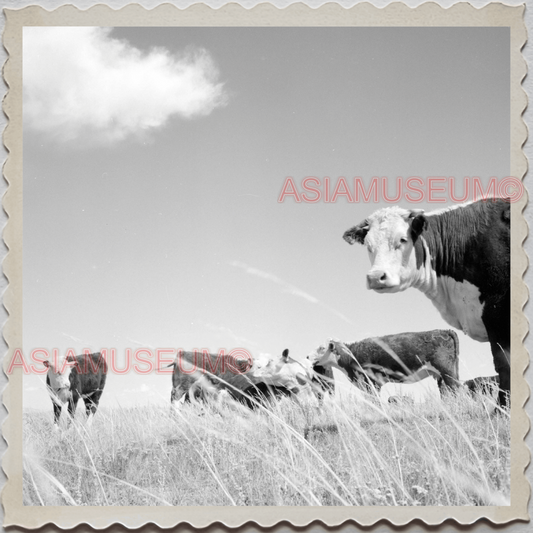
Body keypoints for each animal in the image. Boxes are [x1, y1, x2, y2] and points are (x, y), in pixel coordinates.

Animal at [308, 328, 462, 390]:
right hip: (442, 376)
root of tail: (444, 330)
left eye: (321, 348)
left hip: (448, 372)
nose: (307, 356)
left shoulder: (372, 382)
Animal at [342, 197, 510, 406]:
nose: (375, 277)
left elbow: (504, 364)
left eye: (402, 239)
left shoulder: (496, 313)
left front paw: (502, 408)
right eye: (368, 245)